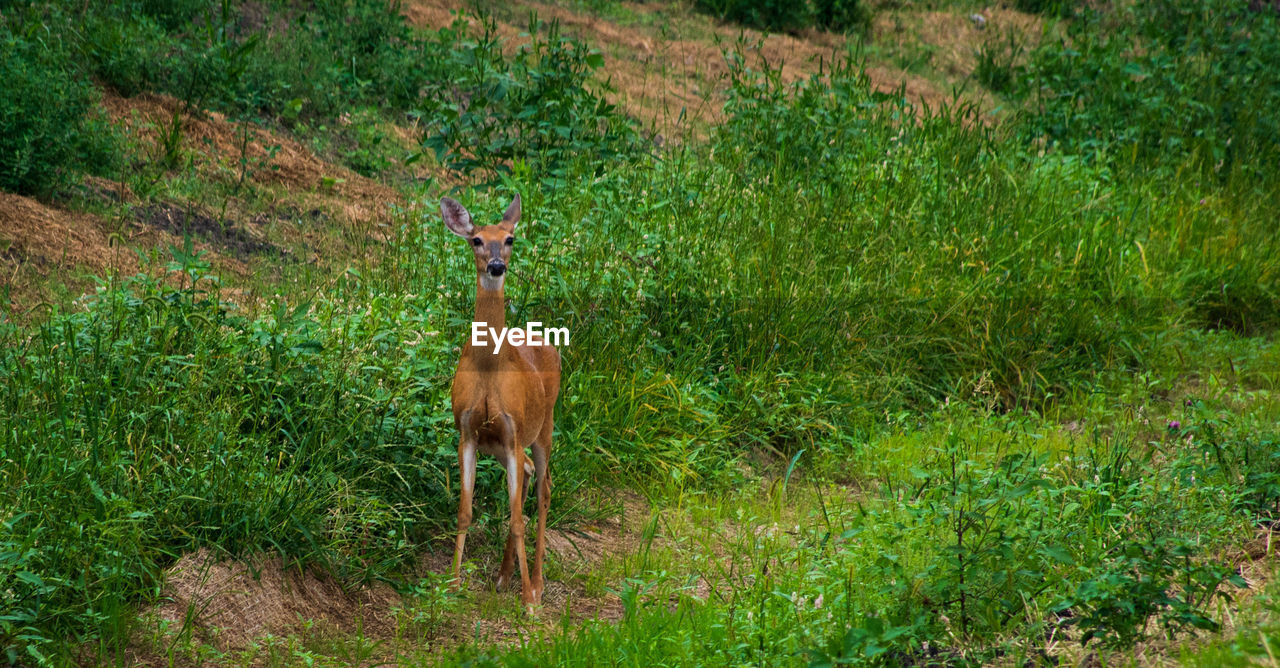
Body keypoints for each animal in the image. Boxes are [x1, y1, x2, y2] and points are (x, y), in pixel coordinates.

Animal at [440, 193, 560, 609]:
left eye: (510, 239)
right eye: (476, 240)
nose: (495, 265)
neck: (490, 369)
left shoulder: (513, 432)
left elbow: (518, 518)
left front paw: (529, 601)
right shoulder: (468, 432)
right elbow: (464, 511)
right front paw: (452, 584)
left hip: (542, 428)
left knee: (543, 489)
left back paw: (535, 582)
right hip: (510, 442)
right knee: (528, 477)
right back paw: (504, 576)